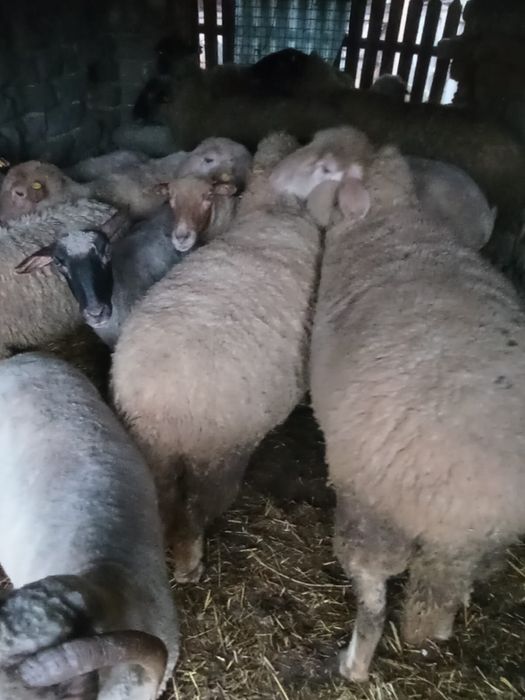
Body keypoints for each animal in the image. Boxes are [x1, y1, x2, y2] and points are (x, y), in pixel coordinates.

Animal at [110, 131, 341, 583]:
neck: (274, 206)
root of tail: (159, 404)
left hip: (153, 449)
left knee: (165, 501)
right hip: (217, 452)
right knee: (196, 509)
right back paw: (189, 565)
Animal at [306, 126, 525, 681]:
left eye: (323, 167)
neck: (387, 220)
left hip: (374, 506)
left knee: (374, 597)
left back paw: (353, 665)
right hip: (479, 543)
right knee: (439, 597)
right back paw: (435, 634)